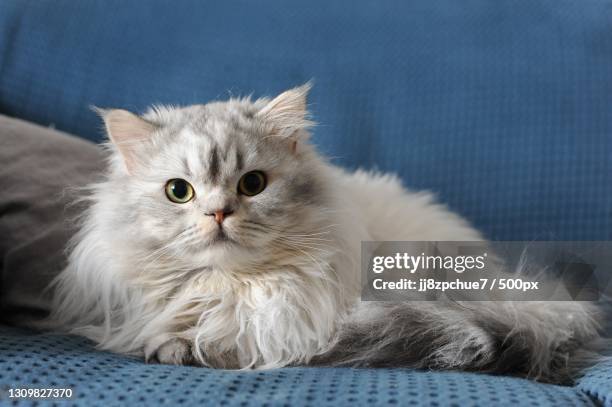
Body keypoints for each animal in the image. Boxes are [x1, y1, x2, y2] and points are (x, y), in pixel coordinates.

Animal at [49, 84, 604, 384]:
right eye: (179, 192)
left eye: (252, 185)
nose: (218, 214)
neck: (231, 287)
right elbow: (164, 330)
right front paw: (175, 345)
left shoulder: (295, 319)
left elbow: (245, 337)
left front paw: (211, 348)